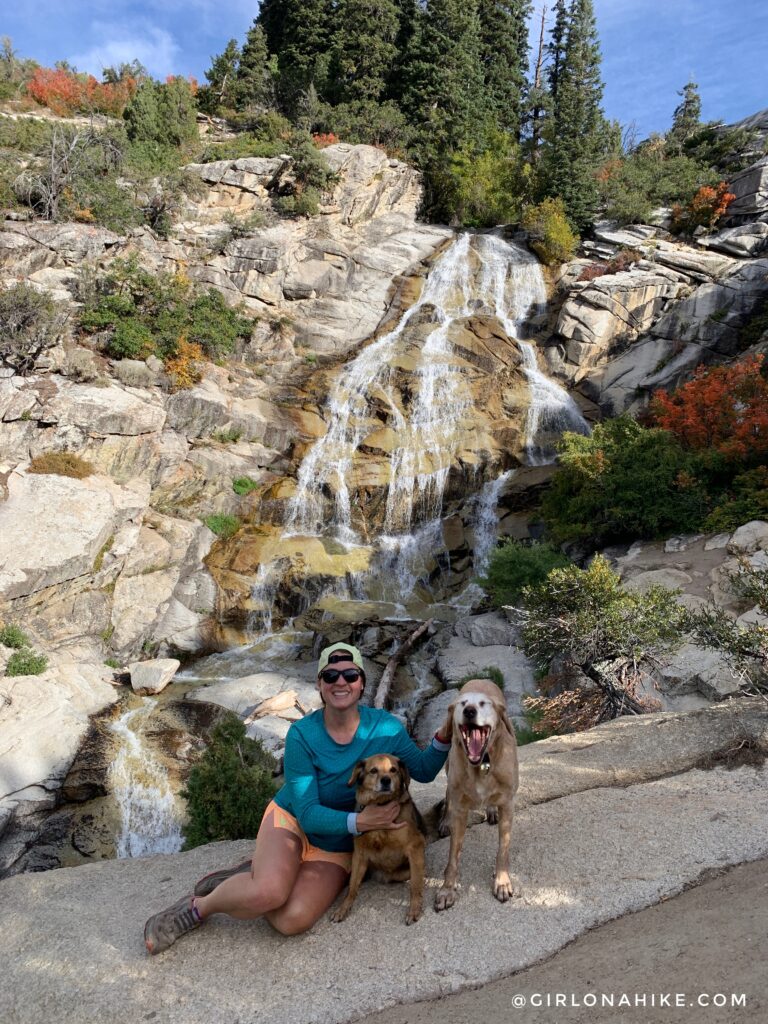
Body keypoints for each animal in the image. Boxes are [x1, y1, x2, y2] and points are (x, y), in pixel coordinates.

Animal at [331, 753, 428, 929]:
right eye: (373, 771)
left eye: (393, 770)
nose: (386, 780)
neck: (381, 804)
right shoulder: (359, 854)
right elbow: (352, 887)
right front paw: (343, 908)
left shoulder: (415, 846)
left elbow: (415, 886)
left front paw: (414, 909)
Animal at [436, 679, 520, 913]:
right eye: (462, 703)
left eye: (483, 704)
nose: (470, 711)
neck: (482, 762)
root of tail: (480, 679)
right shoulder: (460, 809)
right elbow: (452, 858)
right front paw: (447, 889)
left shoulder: (508, 804)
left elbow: (503, 849)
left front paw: (502, 882)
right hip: (449, 769)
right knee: (447, 796)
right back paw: (444, 821)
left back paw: (491, 810)